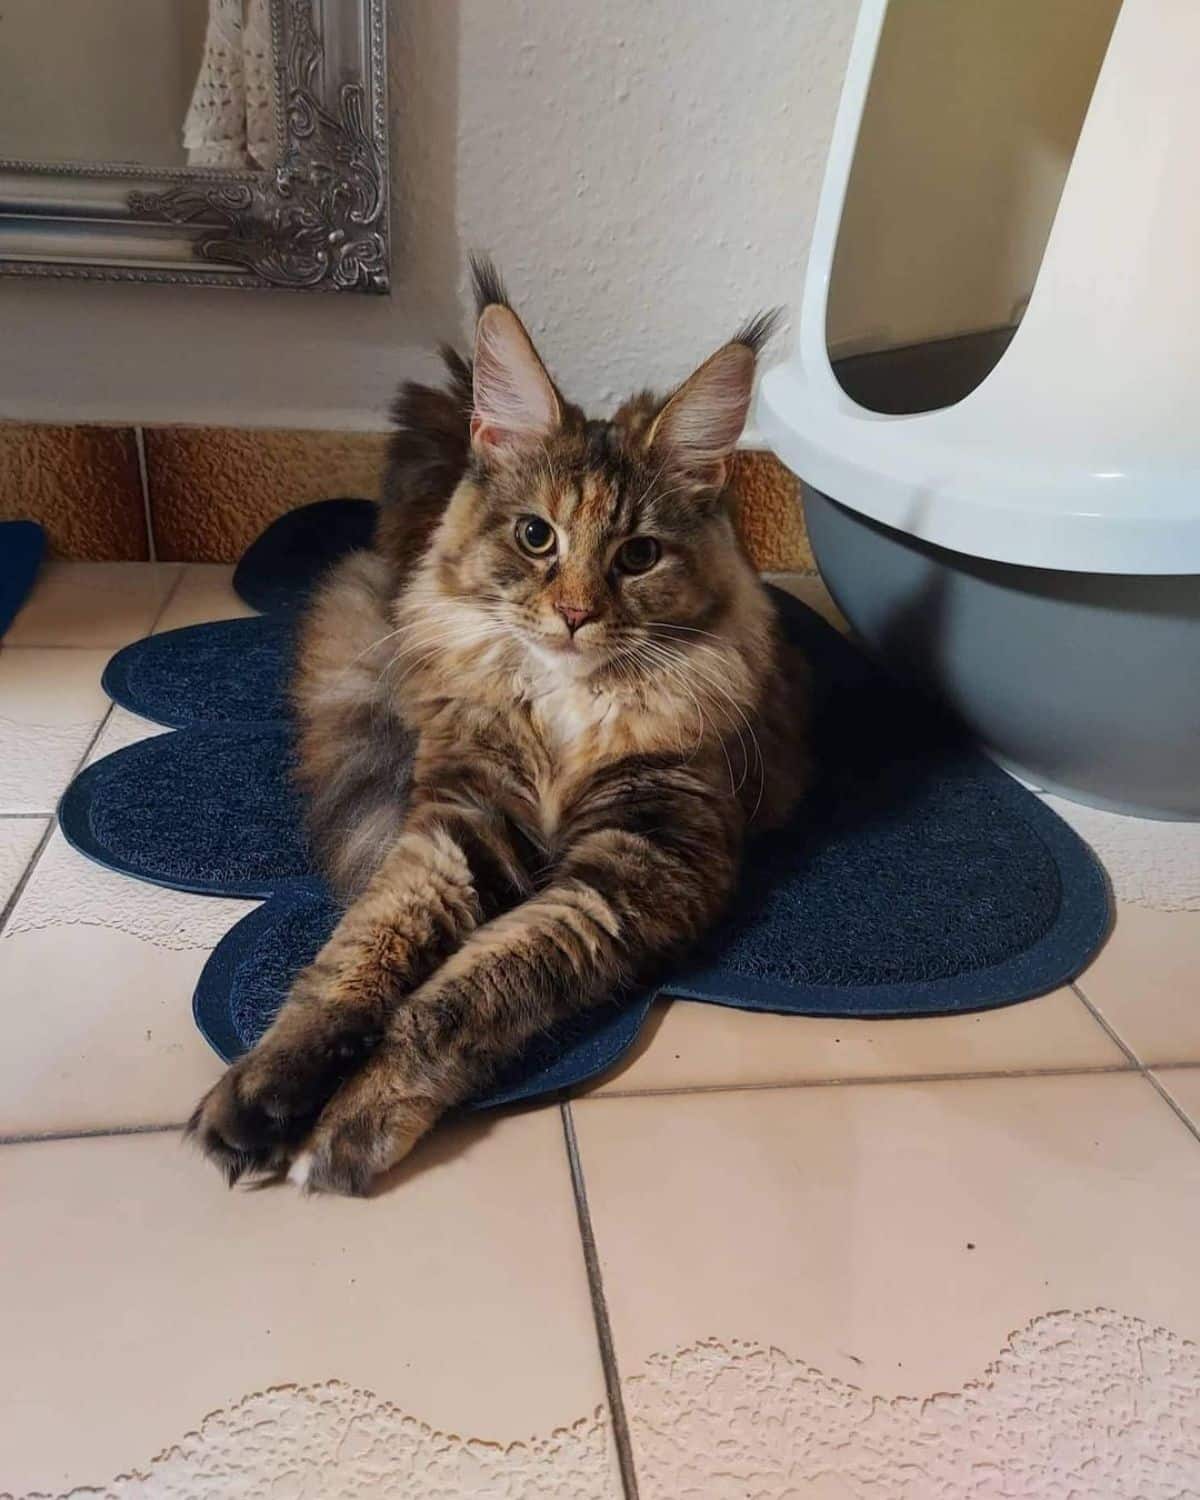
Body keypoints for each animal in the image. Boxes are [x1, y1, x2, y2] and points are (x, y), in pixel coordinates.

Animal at [189, 258, 804, 1194]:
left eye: (638, 556)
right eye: (536, 536)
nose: (576, 615)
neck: (566, 710)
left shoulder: (636, 866)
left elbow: (455, 998)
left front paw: (352, 1121)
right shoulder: (459, 824)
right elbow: (355, 960)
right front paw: (266, 1089)